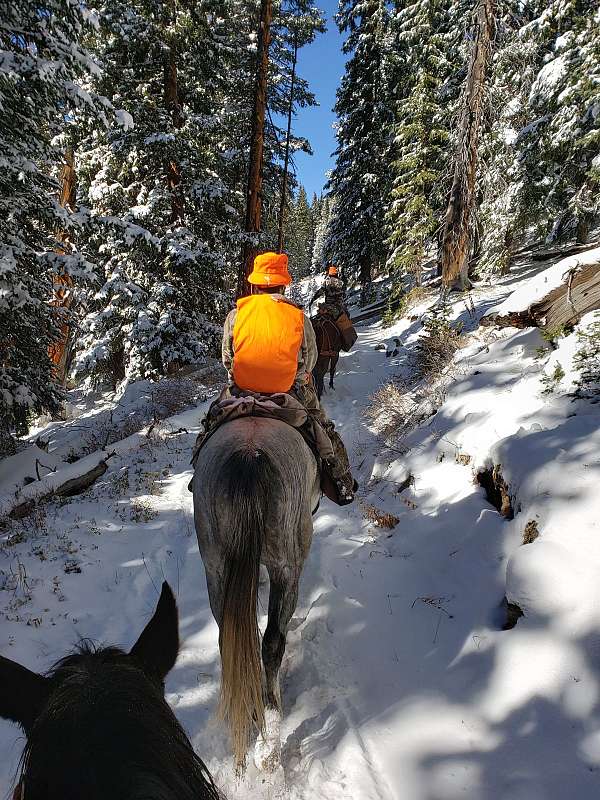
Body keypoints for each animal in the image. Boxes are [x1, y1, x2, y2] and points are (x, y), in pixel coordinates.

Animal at [192, 417, 320, 770]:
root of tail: (247, 457)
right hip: (286, 564)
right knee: (273, 641)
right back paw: (272, 712)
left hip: (215, 567)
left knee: (229, 639)